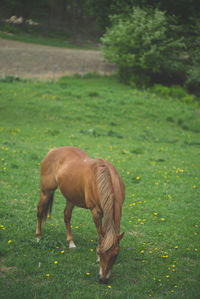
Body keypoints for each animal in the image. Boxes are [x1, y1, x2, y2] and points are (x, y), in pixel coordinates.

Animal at [35, 147, 124, 284]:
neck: (104, 178)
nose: (102, 279)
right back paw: (38, 237)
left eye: (115, 255)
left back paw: (71, 242)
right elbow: (100, 236)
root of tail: (53, 151)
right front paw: (97, 258)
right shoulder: (96, 212)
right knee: (40, 211)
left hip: (70, 197)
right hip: (46, 191)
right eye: (100, 252)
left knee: (66, 216)